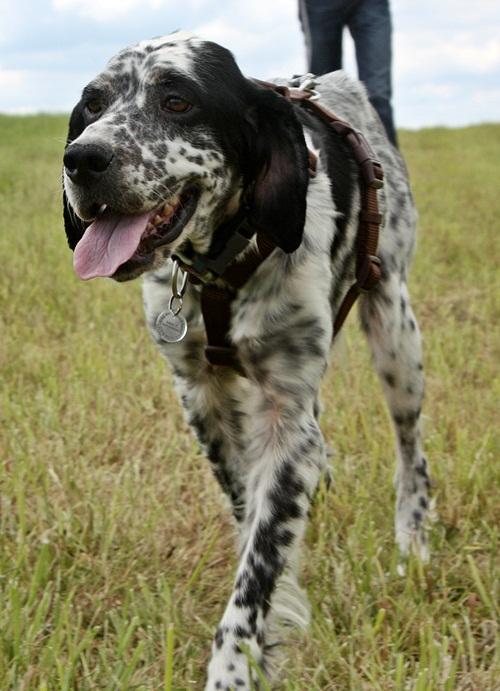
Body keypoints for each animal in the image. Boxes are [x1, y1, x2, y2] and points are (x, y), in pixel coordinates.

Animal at [62, 29, 430, 688]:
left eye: (177, 100)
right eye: (93, 105)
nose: (82, 158)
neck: (223, 261)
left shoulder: (287, 413)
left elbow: (255, 572)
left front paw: (234, 668)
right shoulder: (201, 396)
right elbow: (248, 511)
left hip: (396, 332)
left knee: (412, 453)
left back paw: (411, 543)